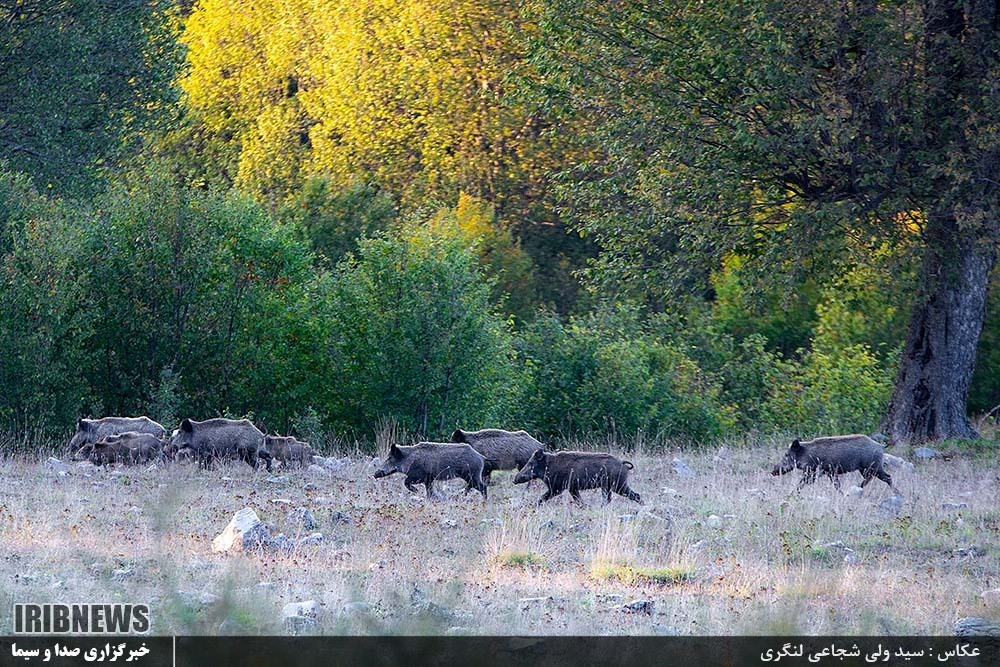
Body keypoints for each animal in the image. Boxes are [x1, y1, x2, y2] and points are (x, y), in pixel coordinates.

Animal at [512, 449, 643, 505]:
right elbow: (578, 500)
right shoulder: (572, 488)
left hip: (617, 485)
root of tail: (623, 463)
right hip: (609, 486)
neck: (548, 466)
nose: (514, 480)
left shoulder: (557, 488)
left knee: (635, 495)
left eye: (531, 463)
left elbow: (542, 498)